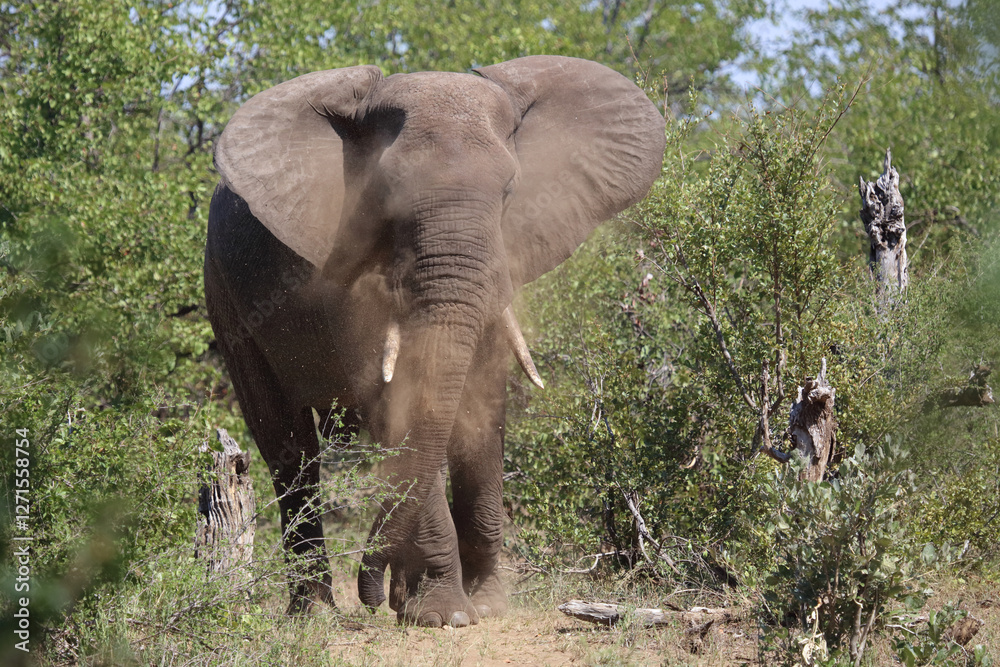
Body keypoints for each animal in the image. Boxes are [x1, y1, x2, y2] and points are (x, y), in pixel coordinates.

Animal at [204, 55, 665, 628]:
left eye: (509, 192)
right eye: (385, 198)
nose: (369, 589)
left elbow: (481, 409)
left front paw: (486, 604)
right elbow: (397, 404)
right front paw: (447, 616)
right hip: (224, 296)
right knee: (290, 449)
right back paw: (316, 613)